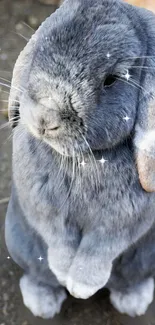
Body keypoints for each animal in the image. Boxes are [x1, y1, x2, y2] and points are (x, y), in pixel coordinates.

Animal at [5, 0, 155, 318]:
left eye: (112, 80)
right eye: (40, 48)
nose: (45, 118)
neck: (86, 158)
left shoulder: (124, 221)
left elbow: (101, 247)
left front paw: (82, 286)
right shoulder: (43, 206)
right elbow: (57, 237)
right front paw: (65, 274)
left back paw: (133, 302)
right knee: (38, 274)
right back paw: (42, 304)